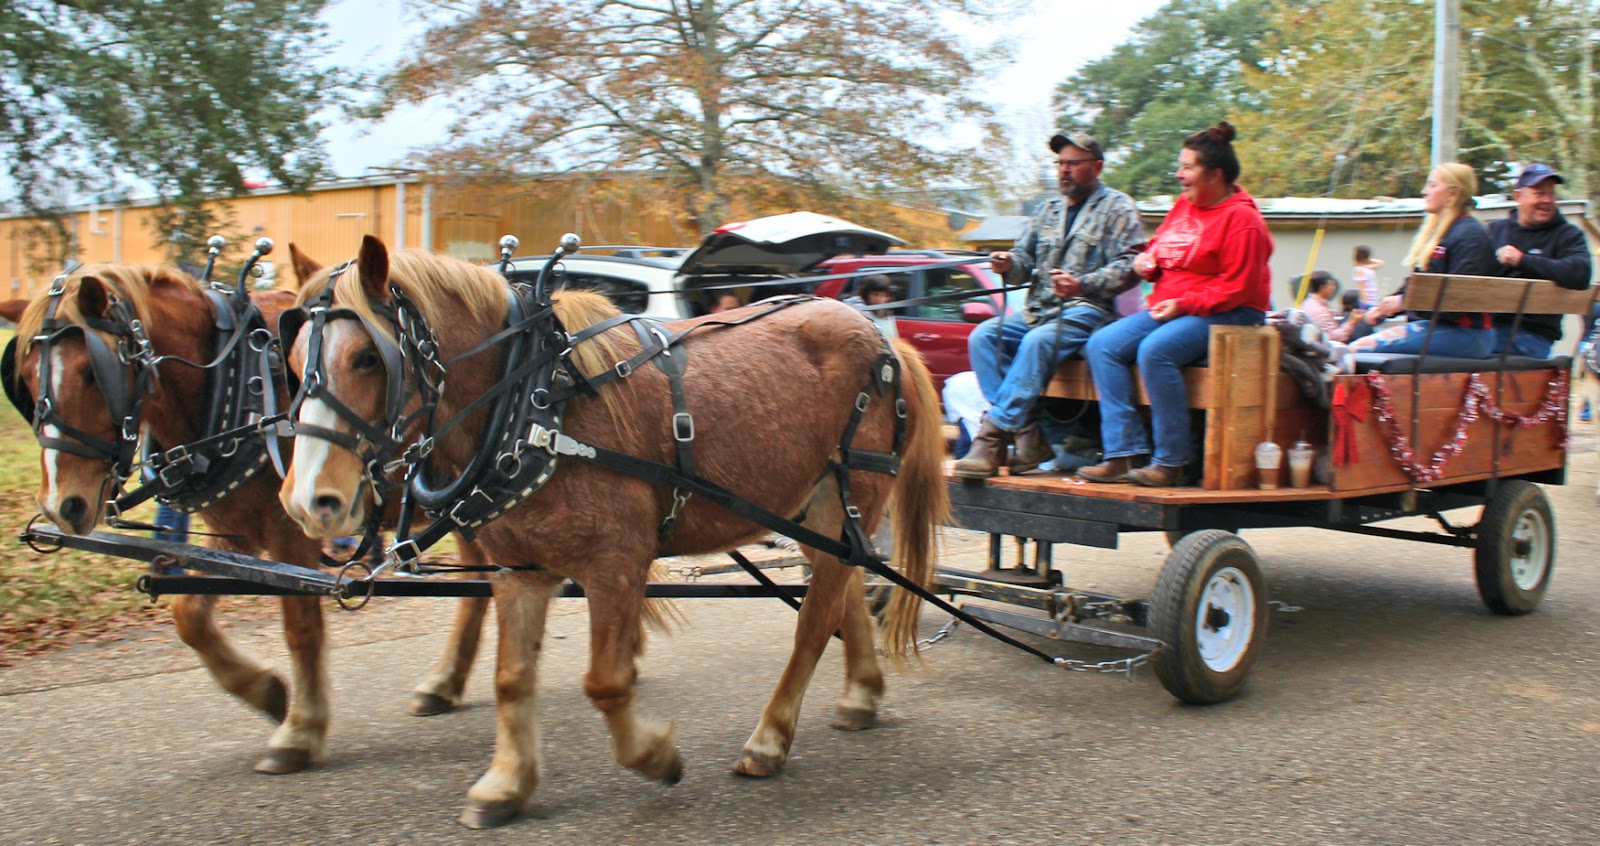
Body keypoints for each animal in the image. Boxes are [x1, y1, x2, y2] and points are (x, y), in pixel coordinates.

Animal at [0, 262, 499, 774]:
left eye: (90, 373)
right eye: (25, 377)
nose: (62, 504)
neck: (241, 381)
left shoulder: (291, 533)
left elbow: (301, 629)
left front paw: (299, 730)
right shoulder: (233, 532)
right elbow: (189, 616)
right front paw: (266, 693)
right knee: (481, 586)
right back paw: (444, 683)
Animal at [277, 235, 949, 828]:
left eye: (367, 357)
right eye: (292, 362)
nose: (309, 501)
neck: (536, 402)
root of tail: (880, 333)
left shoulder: (616, 563)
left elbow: (605, 682)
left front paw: (656, 757)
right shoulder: (520, 571)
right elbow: (512, 679)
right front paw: (506, 783)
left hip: (846, 498)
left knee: (815, 619)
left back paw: (770, 739)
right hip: (813, 511)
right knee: (842, 591)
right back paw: (860, 694)